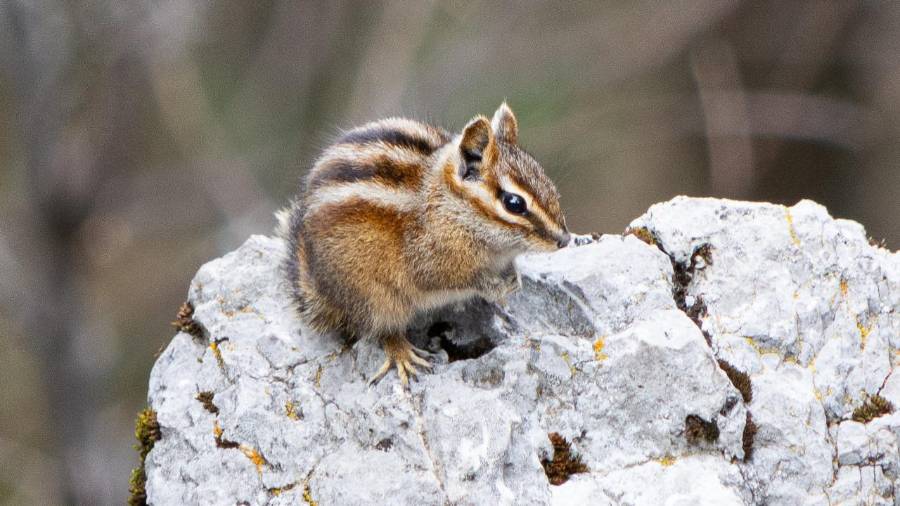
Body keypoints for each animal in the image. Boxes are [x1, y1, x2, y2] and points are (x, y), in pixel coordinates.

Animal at [278, 103, 570, 385]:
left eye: (547, 180)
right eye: (514, 203)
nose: (564, 240)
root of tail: (320, 289)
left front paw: (514, 278)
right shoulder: (431, 260)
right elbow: (456, 279)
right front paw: (496, 287)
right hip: (376, 297)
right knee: (380, 329)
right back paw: (401, 354)